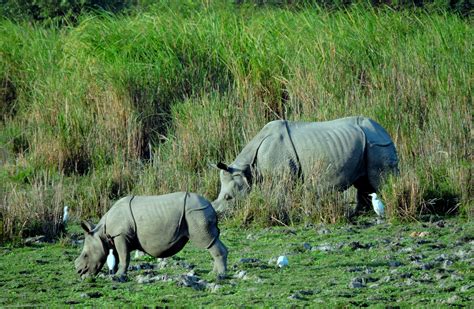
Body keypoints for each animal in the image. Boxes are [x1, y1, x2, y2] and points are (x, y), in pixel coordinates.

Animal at [75, 191, 227, 278]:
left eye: (86, 255)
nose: (79, 271)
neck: (101, 232)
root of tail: (210, 205)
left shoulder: (121, 235)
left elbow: (124, 256)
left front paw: (118, 276)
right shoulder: (116, 237)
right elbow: (117, 257)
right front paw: (116, 273)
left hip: (196, 212)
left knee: (207, 241)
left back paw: (219, 275)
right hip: (198, 212)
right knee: (213, 240)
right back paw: (213, 273)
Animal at [213, 115, 398, 214]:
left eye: (228, 197)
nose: (218, 216)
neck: (246, 167)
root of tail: (385, 132)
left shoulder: (282, 176)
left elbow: (279, 195)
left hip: (378, 145)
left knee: (379, 181)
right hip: (367, 144)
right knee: (363, 183)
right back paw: (357, 214)